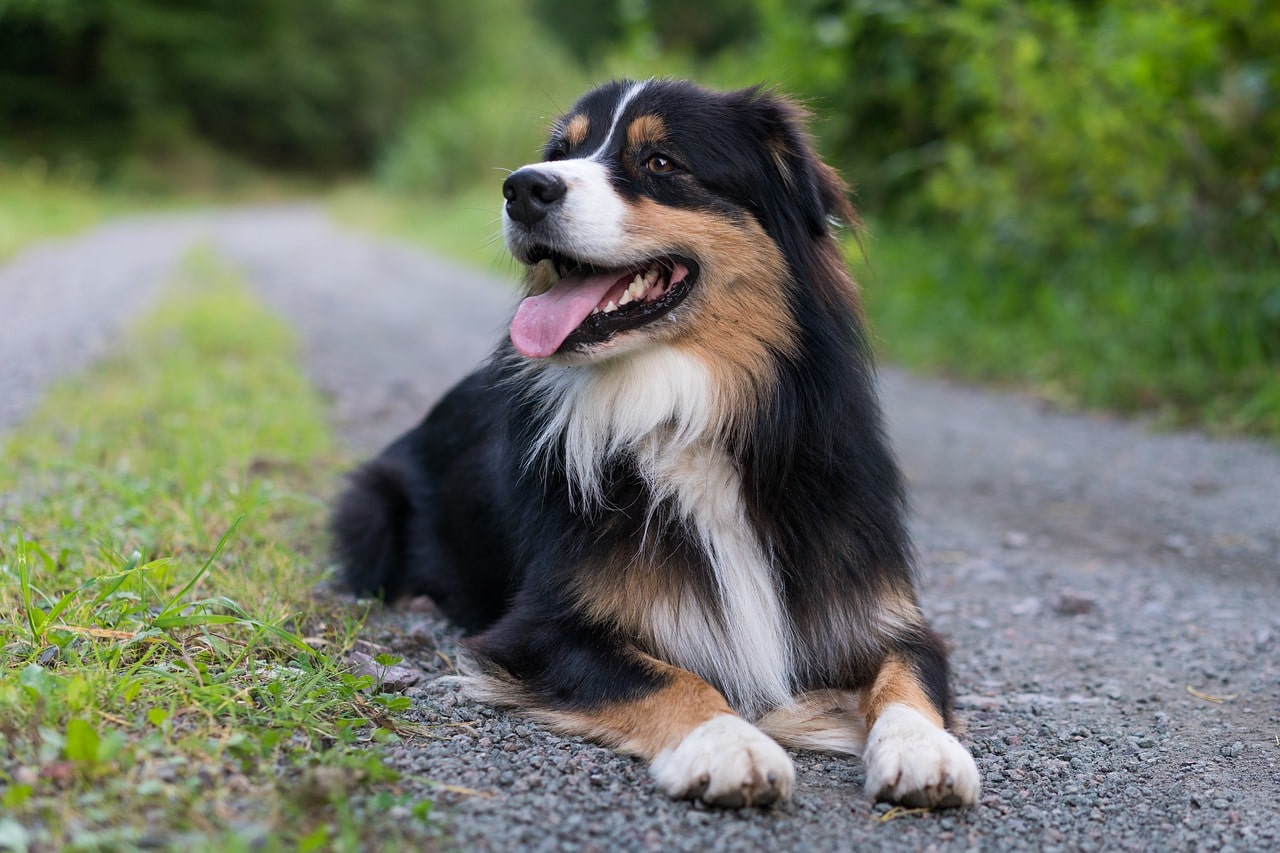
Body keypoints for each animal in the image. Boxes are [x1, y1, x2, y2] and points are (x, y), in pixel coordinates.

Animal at [330, 78, 977, 804]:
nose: (522, 188)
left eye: (661, 162)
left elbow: (908, 675)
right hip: (370, 505)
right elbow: (668, 676)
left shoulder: (879, 610)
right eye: (560, 153)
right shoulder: (539, 627)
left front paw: (926, 750)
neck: (685, 411)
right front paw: (730, 745)